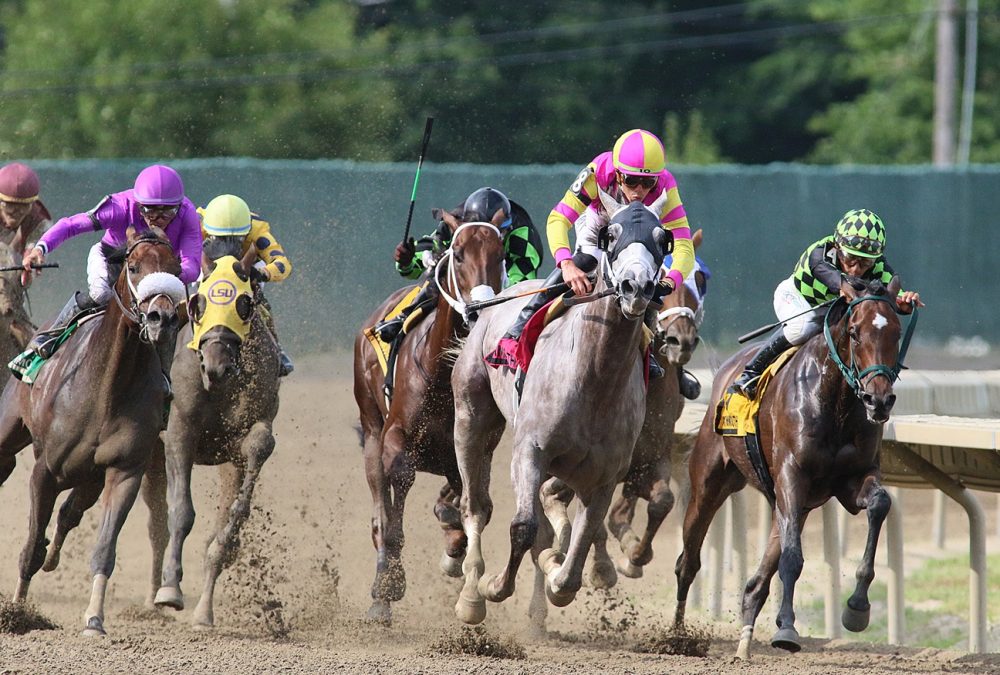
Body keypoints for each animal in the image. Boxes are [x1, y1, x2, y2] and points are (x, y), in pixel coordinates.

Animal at [0, 230, 186, 636]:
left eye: (177, 269)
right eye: (134, 266)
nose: (161, 318)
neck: (107, 386)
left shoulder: (123, 471)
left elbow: (104, 549)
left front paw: (94, 619)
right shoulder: (45, 471)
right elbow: (30, 548)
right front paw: (17, 613)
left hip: (90, 477)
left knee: (69, 512)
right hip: (10, 429)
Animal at [150, 255, 282, 628]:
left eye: (244, 303)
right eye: (201, 303)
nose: (216, 365)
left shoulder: (245, 438)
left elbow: (258, 450)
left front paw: (204, 611)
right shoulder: (179, 430)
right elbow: (181, 511)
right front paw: (170, 590)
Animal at [354, 210, 508, 624]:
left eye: (500, 254)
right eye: (458, 253)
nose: (480, 309)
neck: (441, 373)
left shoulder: (474, 448)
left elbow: (474, 505)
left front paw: (454, 539)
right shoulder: (395, 441)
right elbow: (395, 507)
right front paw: (388, 586)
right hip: (371, 429)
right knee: (379, 512)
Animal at [454, 202, 672, 628]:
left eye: (662, 239)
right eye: (611, 235)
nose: (636, 287)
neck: (594, 378)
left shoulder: (605, 475)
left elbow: (579, 546)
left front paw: (558, 574)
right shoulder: (530, 450)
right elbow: (523, 527)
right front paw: (494, 586)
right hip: (472, 416)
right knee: (475, 506)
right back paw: (471, 594)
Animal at [672, 274, 916, 660]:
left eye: (894, 331)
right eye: (855, 332)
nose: (878, 400)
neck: (835, 402)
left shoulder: (852, 479)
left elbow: (880, 503)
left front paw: (857, 607)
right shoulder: (791, 476)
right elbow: (792, 558)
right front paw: (786, 628)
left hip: (792, 505)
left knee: (756, 583)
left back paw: (744, 642)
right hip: (710, 482)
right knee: (688, 561)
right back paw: (677, 637)